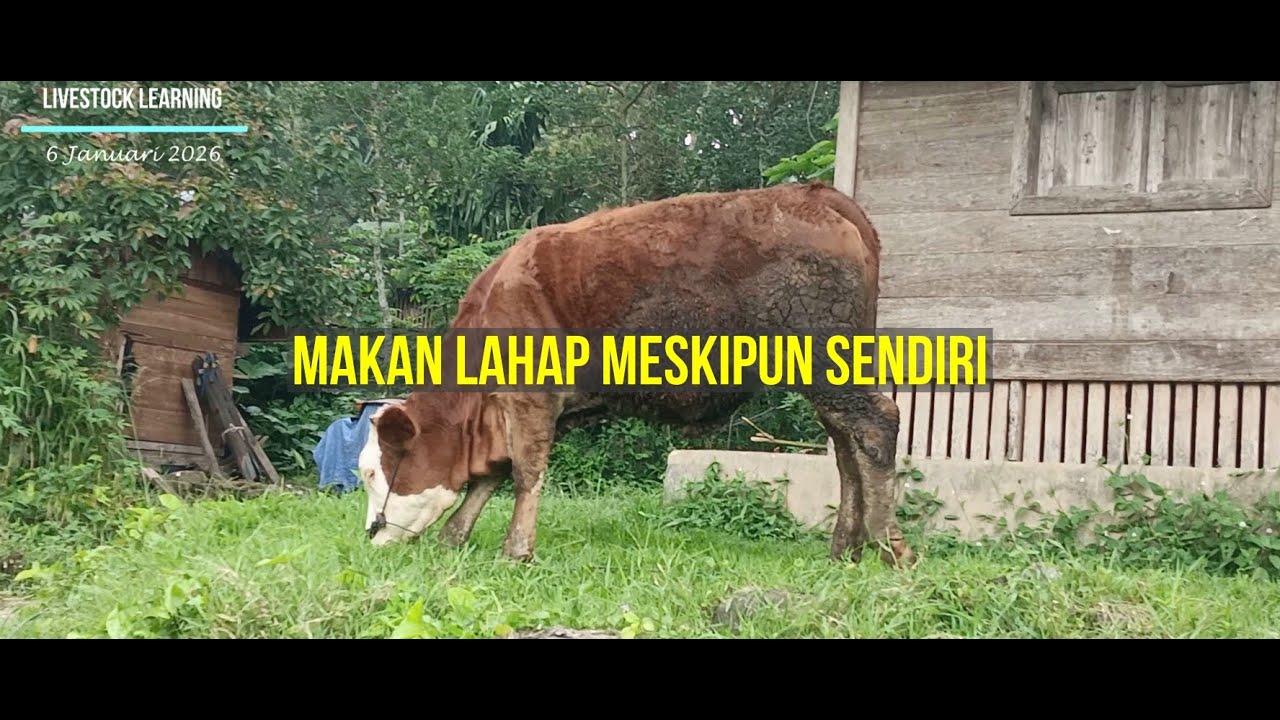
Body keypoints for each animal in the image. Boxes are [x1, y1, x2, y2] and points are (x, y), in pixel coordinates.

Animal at [358, 181, 915, 568]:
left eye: (371, 471)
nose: (370, 534)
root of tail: (814, 193)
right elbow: (494, 475)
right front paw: (454, 538)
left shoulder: (530, 394)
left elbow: (525, 472)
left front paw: (515, 552)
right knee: (845, 448)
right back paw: (844, 550)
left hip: (823, 360)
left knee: (875, 426)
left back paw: (891, 549)